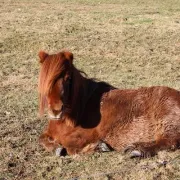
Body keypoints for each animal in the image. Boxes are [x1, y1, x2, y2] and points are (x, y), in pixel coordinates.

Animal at [38, 50, 180, 158]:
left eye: (68, 79)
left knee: (169, 141)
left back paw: (137, 150)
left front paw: (98, 147)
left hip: (166, 122)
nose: (56, 111)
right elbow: (42, 138)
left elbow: (70, 146)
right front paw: (56, 148)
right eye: (45, 80)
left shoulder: (86, 135)